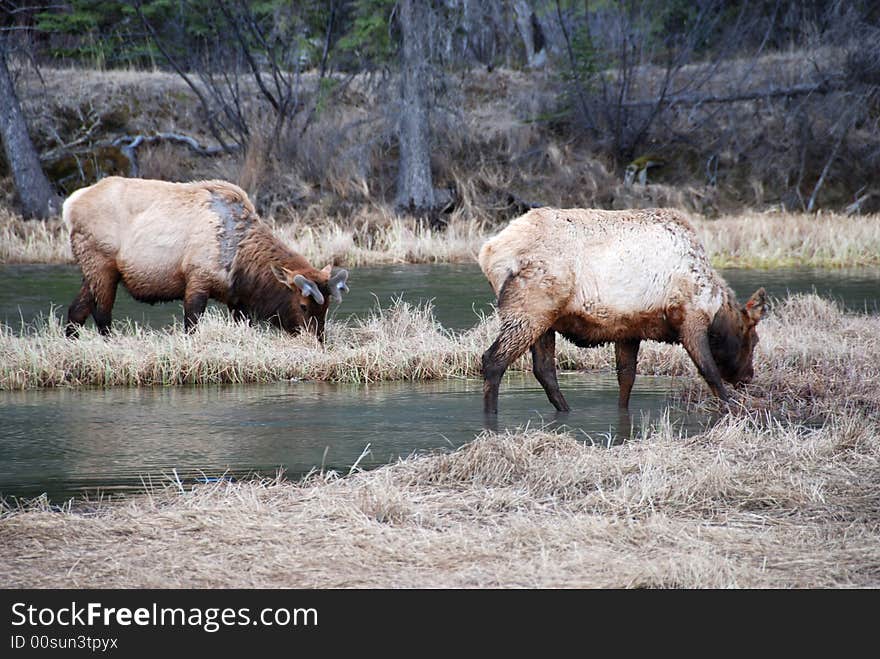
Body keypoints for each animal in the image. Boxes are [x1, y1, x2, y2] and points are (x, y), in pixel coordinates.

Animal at [62, 175, 348, 340]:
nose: (317, 341)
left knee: (77, 310)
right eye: (303, 305)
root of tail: (70, 205)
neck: (241, 261)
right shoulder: (197, 278)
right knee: (102, 314)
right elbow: (191, 323)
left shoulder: (237, 299)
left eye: (326, 307)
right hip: (102, 264)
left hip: (92, 270)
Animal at [478, 208, 768, 412]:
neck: (714, 305)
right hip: (528, 309)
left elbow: (626, 380)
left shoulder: (630, 330)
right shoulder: (690, 317)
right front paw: (731, 408)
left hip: (546, 318)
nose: (748, 377)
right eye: (753, 339)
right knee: (493, 361)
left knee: (544, 370)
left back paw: (565, 410)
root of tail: (488, 253)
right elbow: (710, 372)